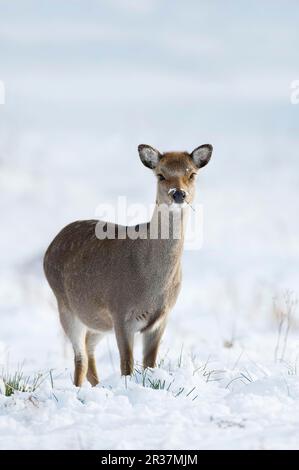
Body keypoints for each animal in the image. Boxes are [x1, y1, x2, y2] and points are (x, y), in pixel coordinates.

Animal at [44, 143, 213, 386]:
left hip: (98, 319)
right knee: (80, 357)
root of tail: (50, 247)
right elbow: (127, 365)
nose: (179, 193)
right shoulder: (121, 311)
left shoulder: (162, 318)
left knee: (88, 346)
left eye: (192, 174)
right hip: (65, 305)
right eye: (160, 175)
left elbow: (150, 363)